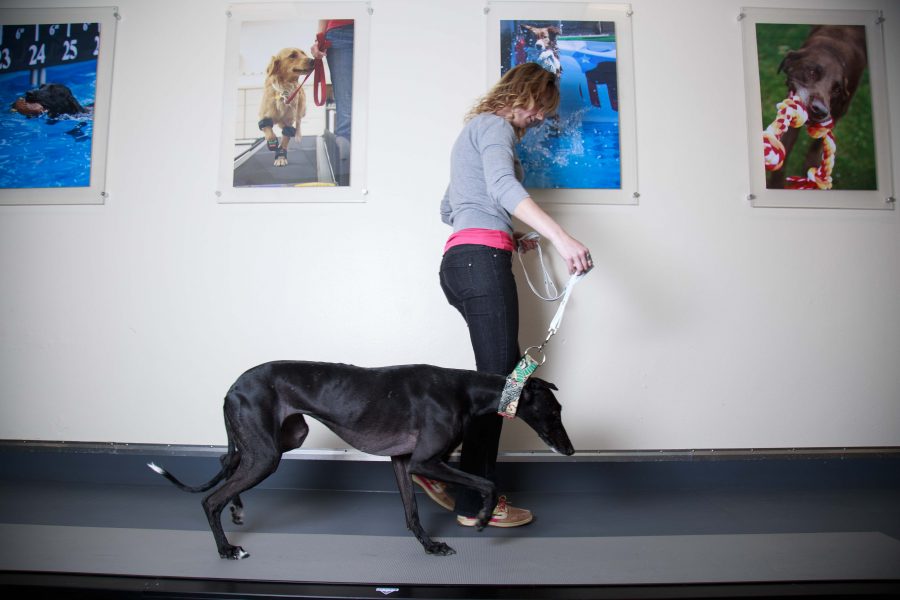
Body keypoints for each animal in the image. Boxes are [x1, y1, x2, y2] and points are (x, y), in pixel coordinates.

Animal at [147, 360, 568, 556]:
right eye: (554, 411)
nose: (568, 450)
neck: (464, 389)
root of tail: (233, 386)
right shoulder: (425, 461)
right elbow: (487, 482)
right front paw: (481, 517)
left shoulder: (403, 462)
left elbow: (411, 512)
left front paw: (429, 546)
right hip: (266, 454)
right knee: (210, 498)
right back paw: (226, 549)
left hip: (279, 440)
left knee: (225, 464)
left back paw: (236, 509)